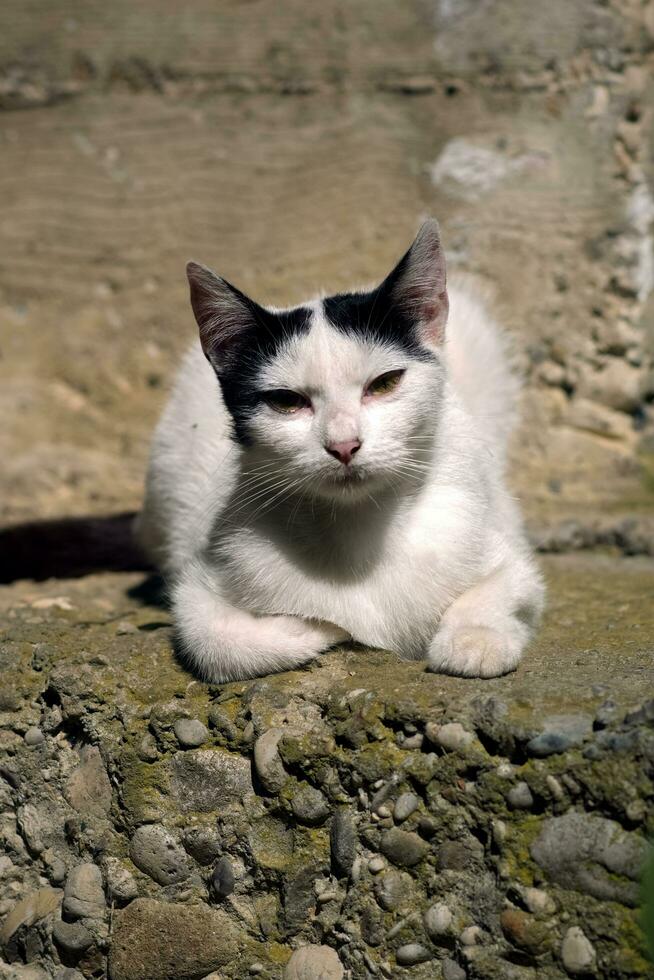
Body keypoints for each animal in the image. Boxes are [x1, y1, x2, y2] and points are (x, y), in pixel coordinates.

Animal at [140, 219, 548, 684]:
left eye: (385, 383)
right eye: (286, 401)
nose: (343, 445)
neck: (361, 532)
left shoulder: (508, 561)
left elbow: (500, 591)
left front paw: (474, 641)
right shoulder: (201, 588)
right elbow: (214, 641)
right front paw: (324, 629)